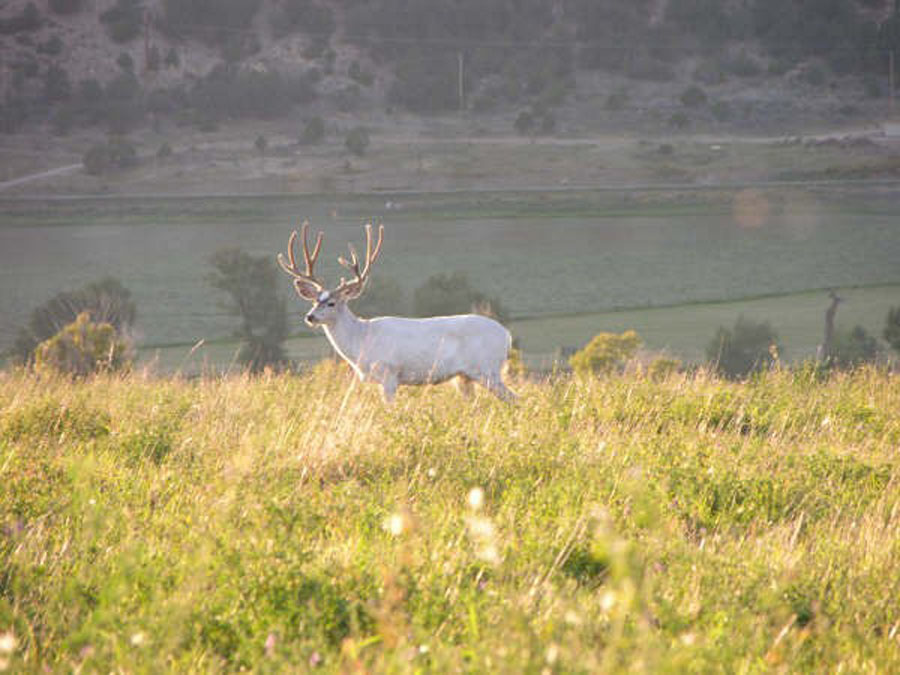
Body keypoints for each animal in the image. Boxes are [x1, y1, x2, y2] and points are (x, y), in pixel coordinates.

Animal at [278, 222, 516, 403]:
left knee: (514, 399)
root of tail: (507, 336)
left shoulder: (389, 373)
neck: (361, 340)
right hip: (464, 377)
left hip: (487, 368)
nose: (310, 317)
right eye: (315, 300)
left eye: (332, 303)